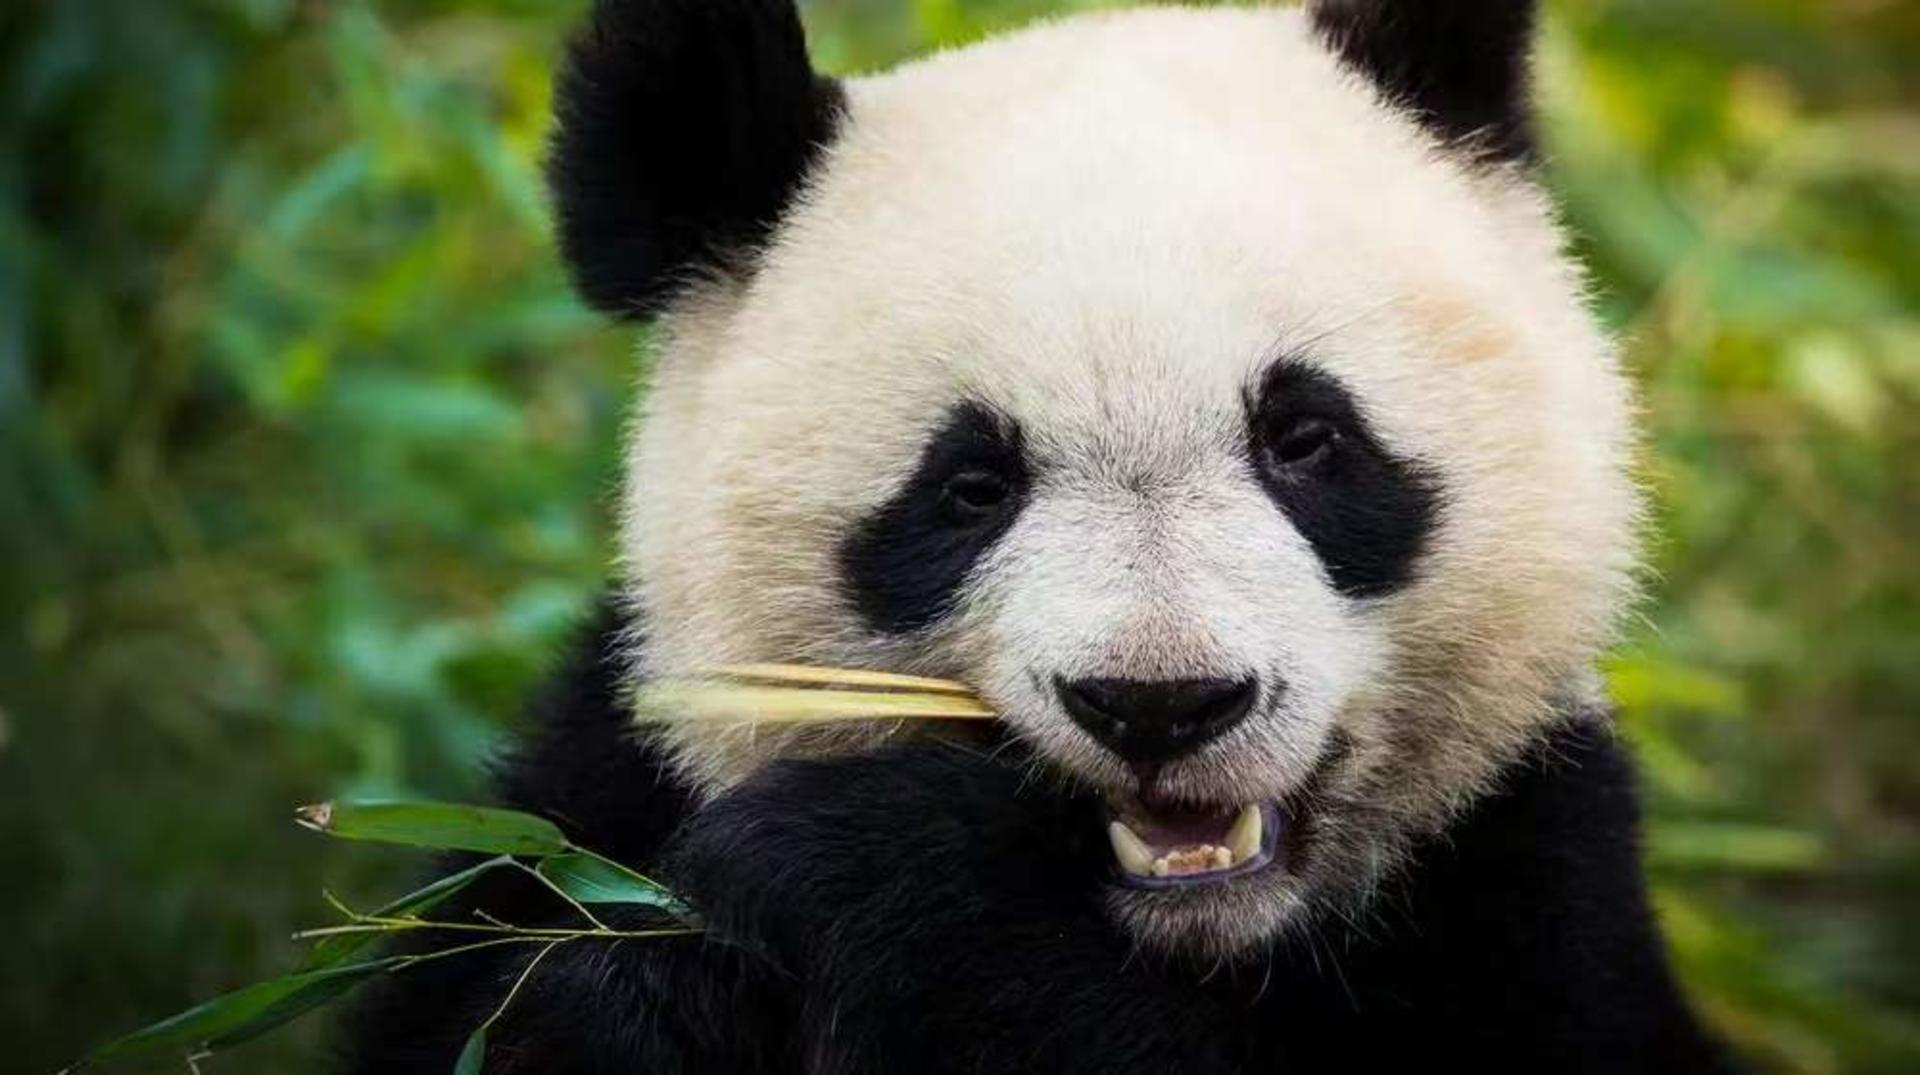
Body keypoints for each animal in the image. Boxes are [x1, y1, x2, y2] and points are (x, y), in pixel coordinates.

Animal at [343, 0, 1734, 1071]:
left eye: (1305, 438)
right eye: (969, 487)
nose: (1162, 704)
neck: (1194, 937)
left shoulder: (1536, 879)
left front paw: (887, 877)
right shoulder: (598, 785)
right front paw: (648, 990)